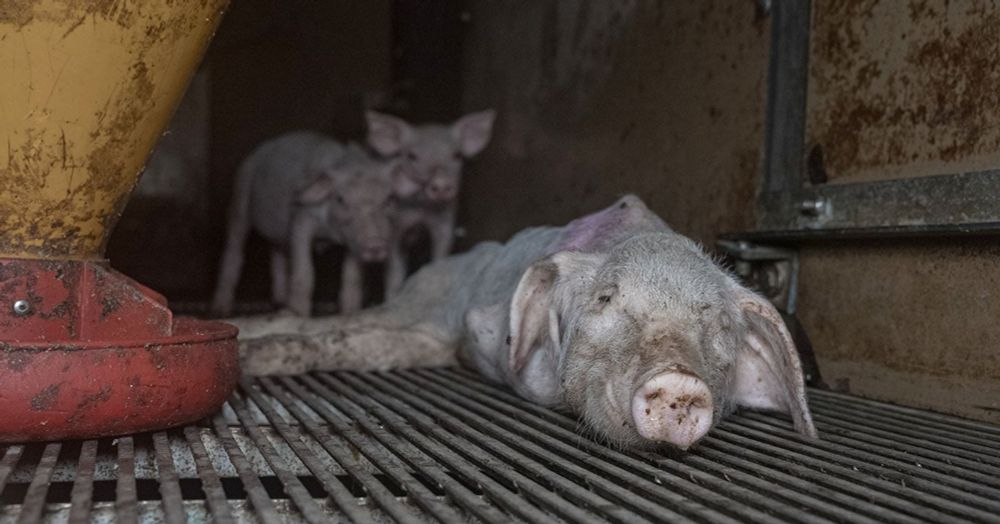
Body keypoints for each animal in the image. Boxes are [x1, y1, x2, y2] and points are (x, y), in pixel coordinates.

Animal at [230, 194, 816, 448]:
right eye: (606, 298)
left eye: (718, 325)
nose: (679, 380)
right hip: (419, 301)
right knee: (339, 327)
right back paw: (247, 346)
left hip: (422, 336)